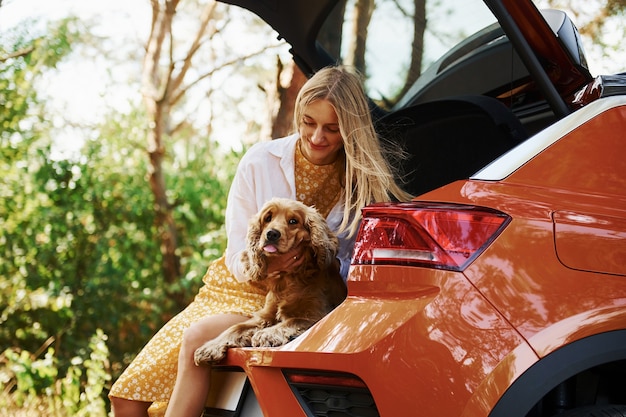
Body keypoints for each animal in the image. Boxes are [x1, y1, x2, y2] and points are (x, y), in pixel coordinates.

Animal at [194, 198, 346, 364]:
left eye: (293, 221)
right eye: (267, 218)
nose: (272, 234)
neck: (289, 279)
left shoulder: (318, 315)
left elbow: (292, 321)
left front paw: (267, 334)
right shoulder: (265, 316)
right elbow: (237, 327)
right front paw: (210, 347)